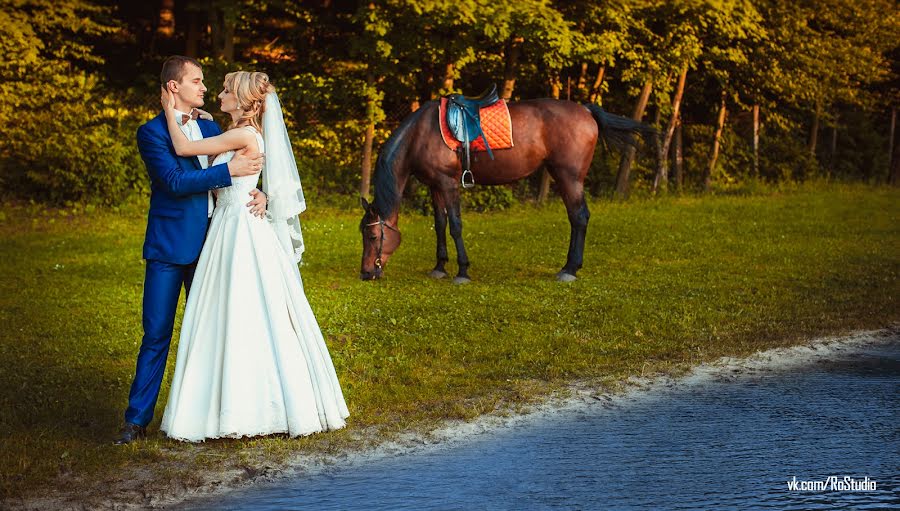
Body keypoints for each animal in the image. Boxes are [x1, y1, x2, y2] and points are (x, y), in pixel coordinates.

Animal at [360, 99, 652, 284]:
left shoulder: (448, 184)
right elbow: (440, 225)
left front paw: (462, 271)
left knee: (579, 217)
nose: (366, 273)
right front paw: (439, 267)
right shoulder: (435, 186)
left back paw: (569, 269)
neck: (421, 135)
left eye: (373, 236)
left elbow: (455, 226)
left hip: (569, 177)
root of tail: (586, 110)